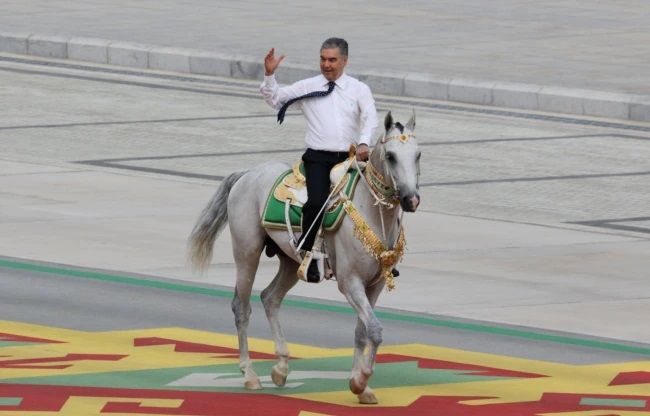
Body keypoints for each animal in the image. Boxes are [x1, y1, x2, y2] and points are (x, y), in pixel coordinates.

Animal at [188, 111, 420, 404]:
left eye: (418, 155)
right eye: (390, 156)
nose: (412, 200)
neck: (371, 212)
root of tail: (248, 174)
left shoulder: (374, 285)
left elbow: (363, 331)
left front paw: (361, 386)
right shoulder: (350, 282)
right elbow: (375, 331)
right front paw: (360, 380)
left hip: (291, 263)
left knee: (270, 298)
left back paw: (281, 367)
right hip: (247, 253)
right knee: (242, 307)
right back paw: (250, 375)